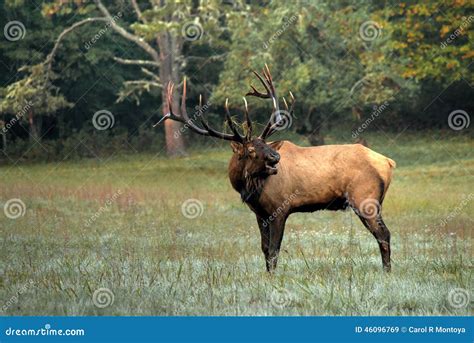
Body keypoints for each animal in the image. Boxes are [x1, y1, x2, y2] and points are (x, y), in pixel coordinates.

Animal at [156, 66, 396, 272]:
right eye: (251, 150)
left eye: (265, 144)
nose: (276, 157)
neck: (251, 190)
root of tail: (387, 162)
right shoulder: (259, 213)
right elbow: (263, 249)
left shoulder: (280, 208)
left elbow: (274, 250)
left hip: (364, 198)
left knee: (383, 234)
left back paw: (387, 272)